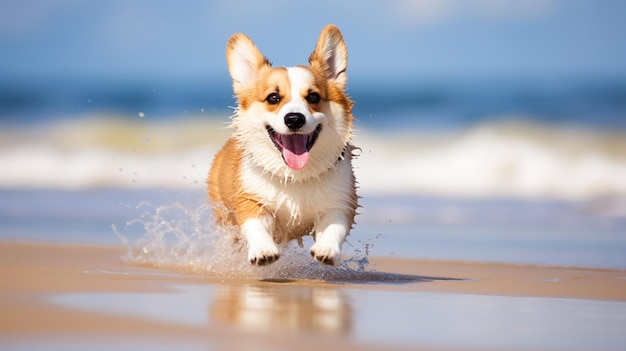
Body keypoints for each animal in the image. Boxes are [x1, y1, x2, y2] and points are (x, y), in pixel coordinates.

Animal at [208, 24, 358, 266]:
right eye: (273, 98)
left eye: (314, 97)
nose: (294, 119)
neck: (296, 175)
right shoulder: (250, 200)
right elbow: (256, 226)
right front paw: (263, 251)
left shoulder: (340, 203)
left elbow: (334, 227)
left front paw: (327, 250)